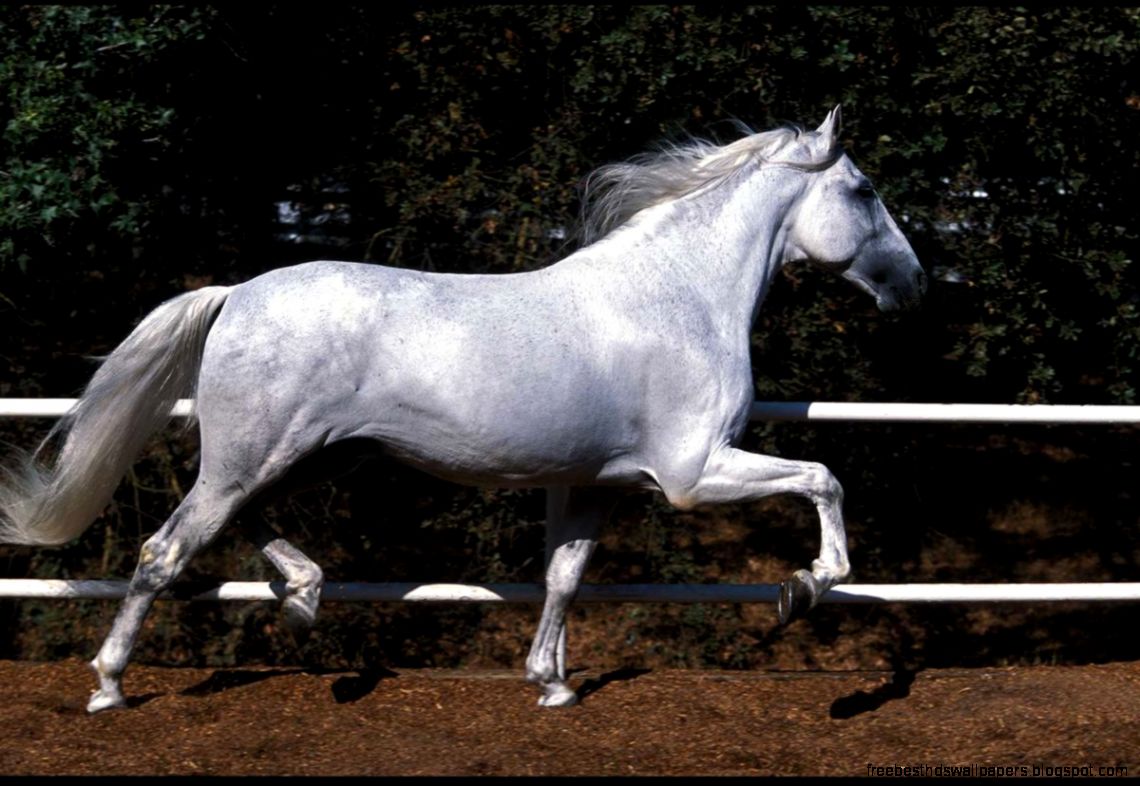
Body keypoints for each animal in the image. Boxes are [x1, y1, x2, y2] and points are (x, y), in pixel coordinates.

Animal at [0, 106, 925, 712]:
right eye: (864, 190)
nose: (914, 283)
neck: (678, 298)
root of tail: (234, 295)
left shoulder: (597, 483)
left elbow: (563, 575)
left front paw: (551, 684)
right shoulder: (695, 473)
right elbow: (824, 478)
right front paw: (803, 588)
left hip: (299, 456)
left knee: (242, 524)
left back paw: (303, 595)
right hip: (251, 457)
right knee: (165, 551)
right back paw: (110, 685)